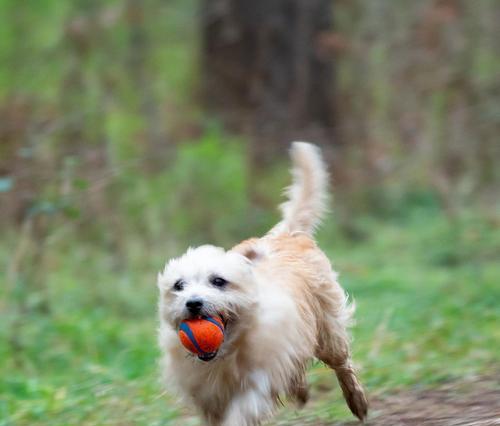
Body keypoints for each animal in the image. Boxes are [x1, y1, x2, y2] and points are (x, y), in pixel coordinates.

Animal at [158, 143, 370, 426]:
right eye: (179, 285)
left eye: (218, 281)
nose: (193, 303)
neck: (228, 352)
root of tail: (287, 234)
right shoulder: (206, 394)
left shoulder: (259, 380)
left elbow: (241, 411)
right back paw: (301, 392)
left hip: (329, 332)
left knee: (342, 364)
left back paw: (357, 400)